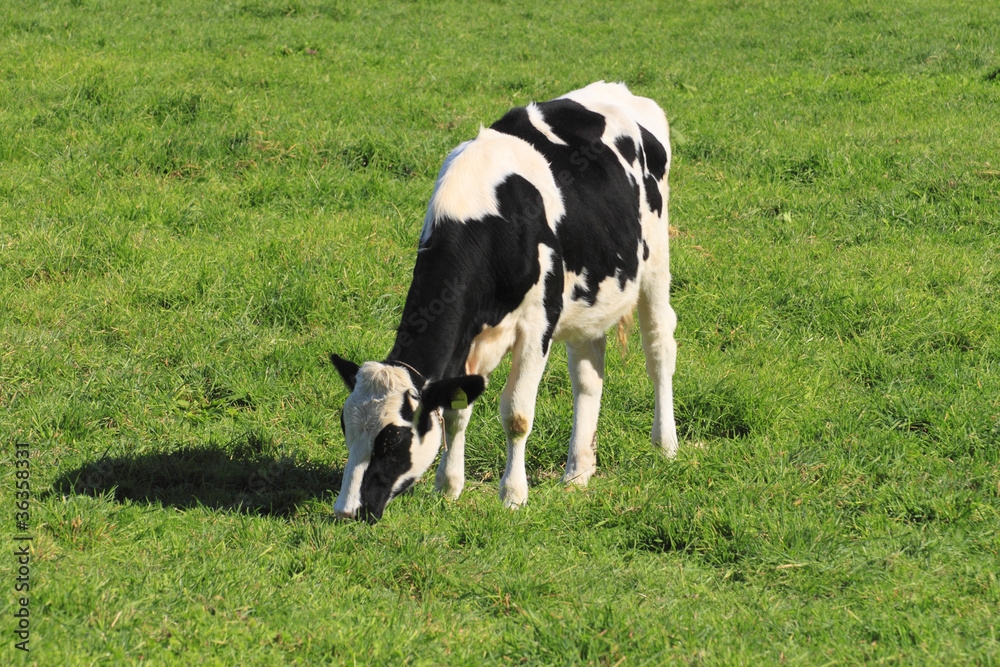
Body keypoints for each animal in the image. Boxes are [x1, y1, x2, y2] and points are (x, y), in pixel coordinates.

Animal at [328, 82, 680, 520]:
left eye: (392, 440)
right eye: (345, 427)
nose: (346, 510)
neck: (484, 215)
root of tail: (620, 90)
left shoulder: (538, 323)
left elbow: (516, 414)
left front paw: (512, 495)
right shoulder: (467, 338)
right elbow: (456, 409)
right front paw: (448, 486)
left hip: (655, 262)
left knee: (659, 347)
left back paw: (665, 445)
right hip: (591, 292)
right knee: (588, 375)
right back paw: (578, 472)